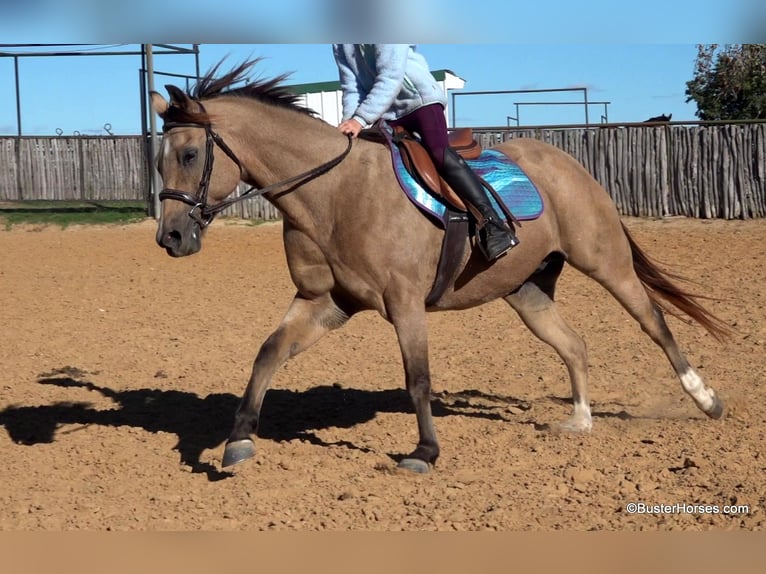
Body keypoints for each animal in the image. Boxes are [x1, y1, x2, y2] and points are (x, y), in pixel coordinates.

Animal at [150, 62, 732, 476]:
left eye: (189, 154)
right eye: (159, 159)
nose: (170, 237)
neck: (333, 192)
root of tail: (568, 163)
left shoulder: (404, 303)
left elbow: (418, 379)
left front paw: (425, 452)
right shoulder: (324, 302)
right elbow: (268, 354)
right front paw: (239, 440)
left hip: (605, 261)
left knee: (654, 322)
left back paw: (706, 399)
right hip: (526, 290)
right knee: (574, 344)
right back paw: (580, 420)